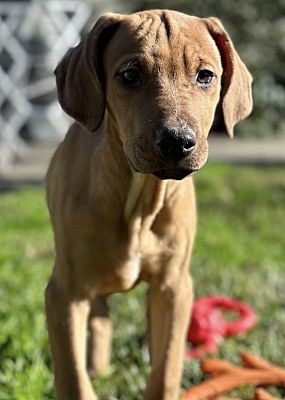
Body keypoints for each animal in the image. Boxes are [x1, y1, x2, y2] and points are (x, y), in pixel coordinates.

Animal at [45, 10, 252, 400]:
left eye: (205, 76)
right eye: (130, 75)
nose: (177, 141)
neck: (138, 201)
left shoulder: (174, 287)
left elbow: (166, 367)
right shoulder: (65, 293)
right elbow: (74, 380)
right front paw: (86, 376)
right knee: (99, 317)